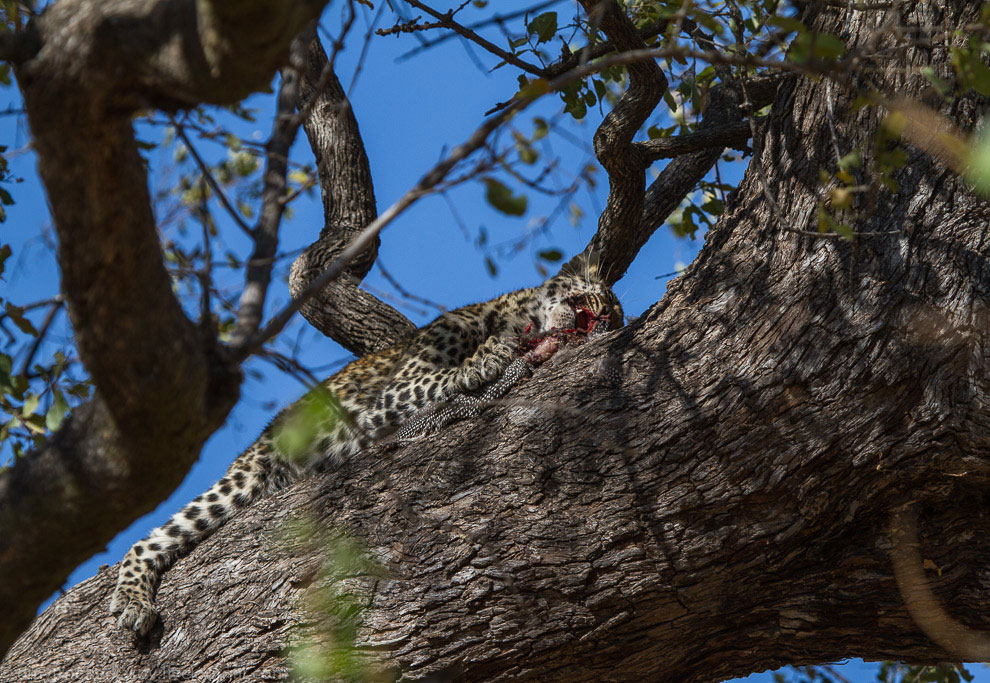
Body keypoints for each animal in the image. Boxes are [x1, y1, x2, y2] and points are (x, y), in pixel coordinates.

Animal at [108, 256, 620, 636]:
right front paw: (487, 357)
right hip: (246, 477)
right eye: (601, 298)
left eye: (612, 315)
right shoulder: (392, 392)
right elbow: (442, 376)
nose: (605, 319)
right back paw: (131, 603)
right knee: (149, 540)